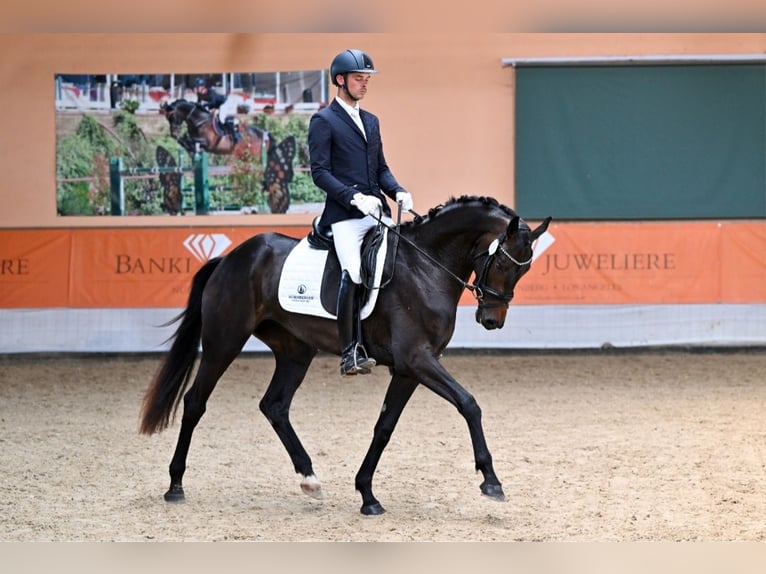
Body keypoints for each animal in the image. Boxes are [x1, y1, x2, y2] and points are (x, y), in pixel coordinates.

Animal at [140, 196, 552, 516]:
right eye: (502, 263)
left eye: (527, 268)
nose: (492, 320)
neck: (425, 266)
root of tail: (229, 258)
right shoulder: (417, 359)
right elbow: (469, 404)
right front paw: (491, 481)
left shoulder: (409, 369)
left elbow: (384, 427)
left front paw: (367, 494)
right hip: (223, 342)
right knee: (195, 402)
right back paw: (175, 486)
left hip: (295, 351)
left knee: (275, 405)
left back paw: (309, 478)